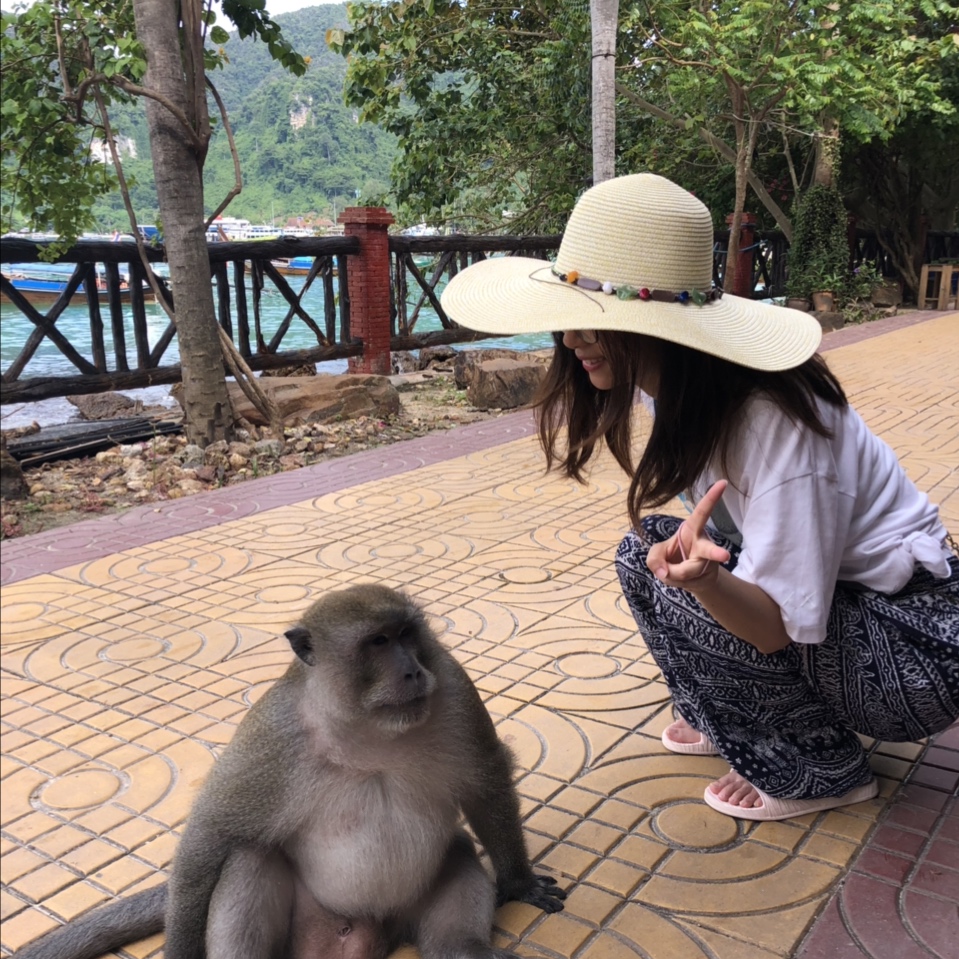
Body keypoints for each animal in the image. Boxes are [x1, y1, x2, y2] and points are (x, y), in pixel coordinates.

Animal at [14, 585, 565, 959]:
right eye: (378, 642)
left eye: (408, 635)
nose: (411, 670)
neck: (366, 729)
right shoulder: (271, 736)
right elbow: (211, 835)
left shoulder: (451, 686)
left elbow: (485, 782)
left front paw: (519, 883)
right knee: (247, 858)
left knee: (458, 855)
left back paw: (461, 949)